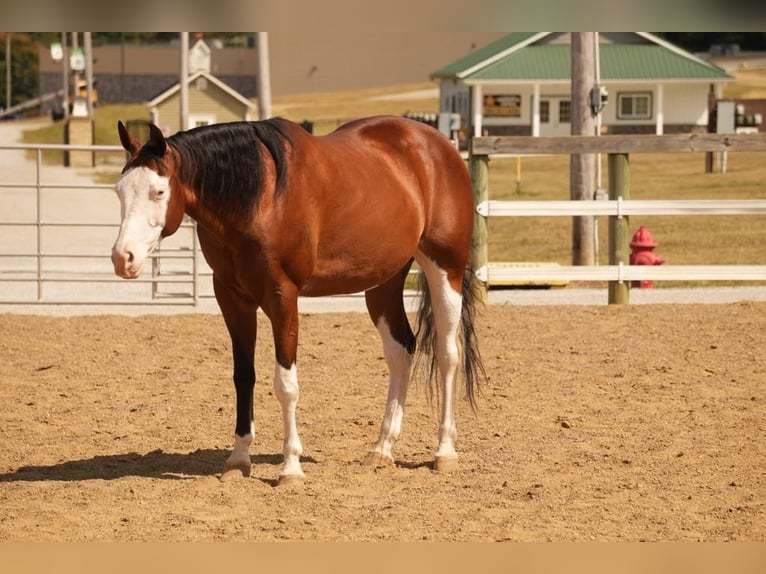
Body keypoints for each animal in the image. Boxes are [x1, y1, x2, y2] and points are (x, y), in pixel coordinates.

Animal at [112, 117, 486, 486]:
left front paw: (290, 467)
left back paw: (444, 451)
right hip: (385, 281)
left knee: (447, 354)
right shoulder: (232, 298)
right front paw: (238, 459)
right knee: (401, 351)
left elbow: (285, 384)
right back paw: (382, 449)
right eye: (120, 191)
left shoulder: (282, 296)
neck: (259, 196)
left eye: (159, 191)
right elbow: (243, 376)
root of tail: (438, 144)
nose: (122, 258)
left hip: (445, 269)